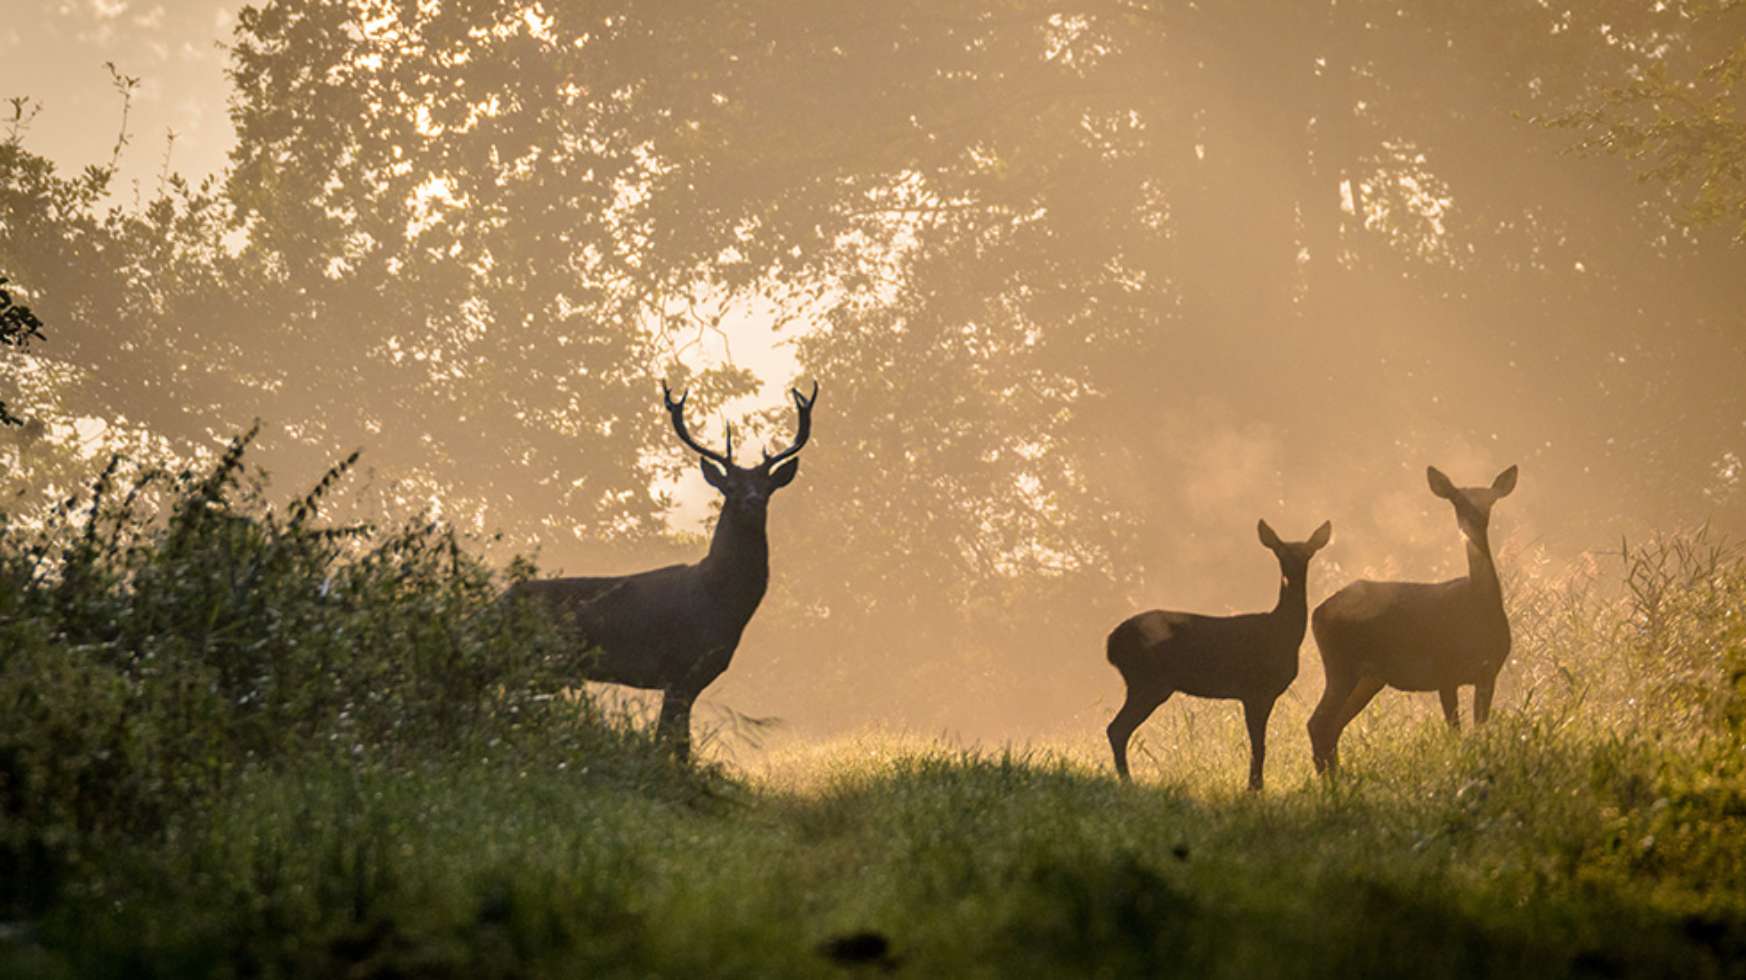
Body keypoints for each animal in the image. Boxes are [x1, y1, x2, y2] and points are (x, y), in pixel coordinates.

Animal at [506, 380, 817, 758]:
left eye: (768, 487)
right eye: (731, 487)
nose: (753, 501)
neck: (719, 603)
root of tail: (497, 601)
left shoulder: (693, 677)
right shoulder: (677, 668)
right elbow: (673, 745)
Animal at [1103, 520, 1333, 786]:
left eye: (1308, 554)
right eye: (1280, 553)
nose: (1289, 578)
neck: (1281, 633)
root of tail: (1111, 644)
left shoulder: (1260, 693)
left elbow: (1259, 744)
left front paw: (1254, 785)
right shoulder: (1255, 690)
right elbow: (1259, 745)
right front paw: (1254, 786)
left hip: (1146, 683)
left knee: (1117, 729)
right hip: (1148, 681)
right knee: (1117, 729)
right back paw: (1127, 780)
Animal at [1306, 461, 1522, 775]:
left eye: (1490, 501)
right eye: (1456, 501)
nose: (1472, 523)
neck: (1477, 608)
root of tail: (1317, 612)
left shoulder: (1488, 672)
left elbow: (1480, 730)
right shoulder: (1444, 671)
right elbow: (1455, 733)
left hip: (1368, 677)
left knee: (1331, 727)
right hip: (1340, 665)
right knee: (1318, 723)